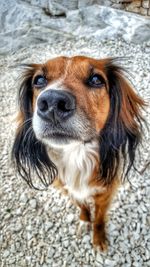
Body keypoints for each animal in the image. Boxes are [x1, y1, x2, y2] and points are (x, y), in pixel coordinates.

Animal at [12, 56, 145, 251]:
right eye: (39, 80)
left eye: (96, 79)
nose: (52, 102)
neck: (77, 154)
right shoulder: (68, 189)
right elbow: (83, 206)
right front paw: (84, 221)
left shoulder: (105, 193)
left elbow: (99, 218)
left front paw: (98, 238)